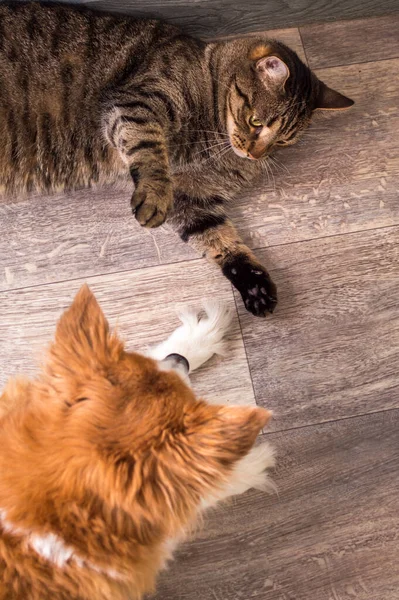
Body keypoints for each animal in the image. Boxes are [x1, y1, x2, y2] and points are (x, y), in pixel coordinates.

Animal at [0, 2, 354, 316]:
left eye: (283, 140)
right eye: (256, 121)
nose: (256, 154)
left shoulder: (191, 197)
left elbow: (218, 238)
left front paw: (255, 286)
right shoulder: (138, 102)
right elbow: (150, 150)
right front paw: (155, 195)